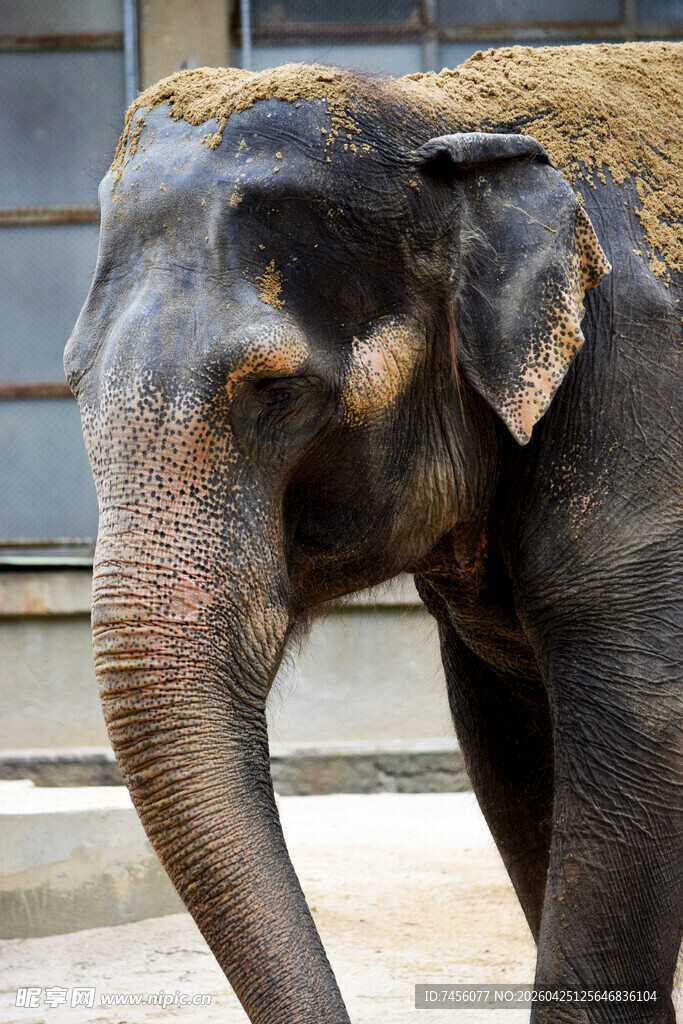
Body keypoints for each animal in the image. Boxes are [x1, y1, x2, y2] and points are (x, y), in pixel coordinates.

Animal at [65, 41, 682, 1024]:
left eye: (276, 391)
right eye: (74, 381)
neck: (446, 120)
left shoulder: (640, 405)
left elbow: (641, 724)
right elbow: (509, 750)